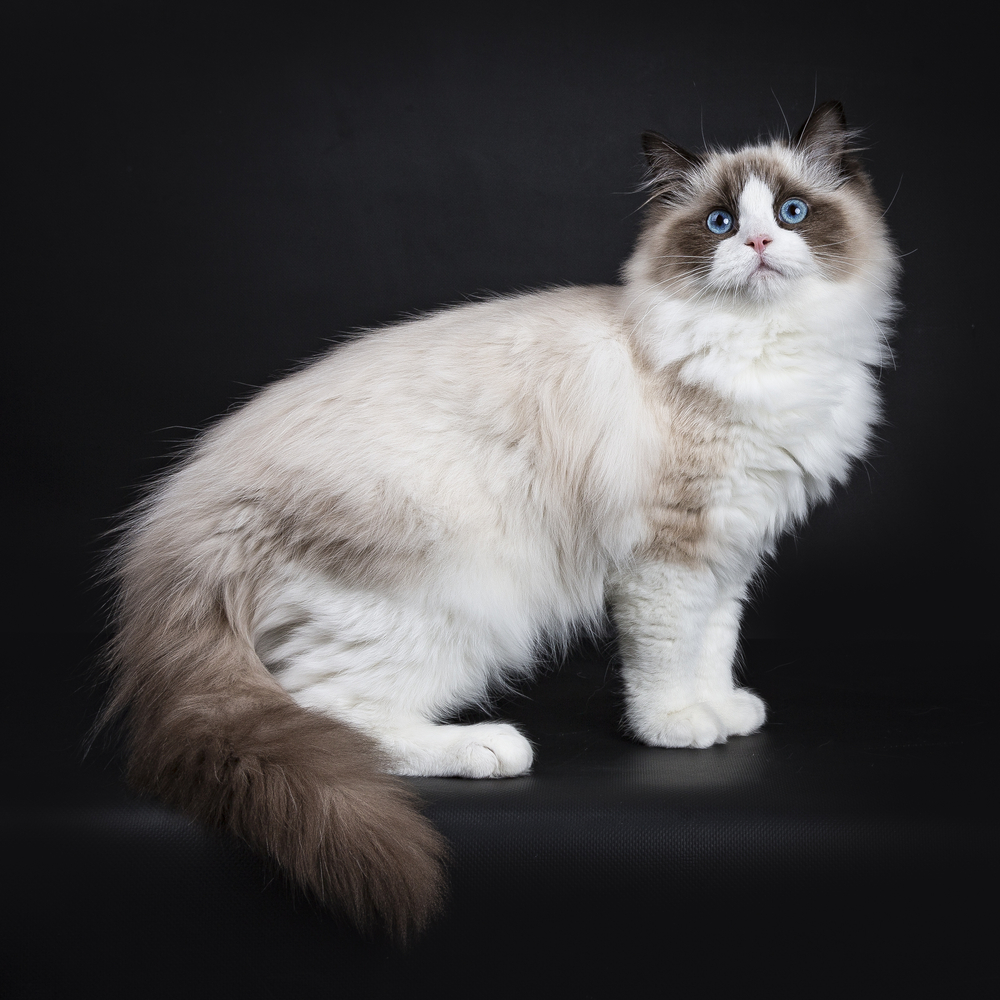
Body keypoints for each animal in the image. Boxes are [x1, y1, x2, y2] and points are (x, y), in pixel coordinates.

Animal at [99, 101, 900, 936]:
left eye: (792, 213)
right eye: (719, 223)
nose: (759, 243)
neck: (763, 352)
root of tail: (191, 512)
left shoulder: (730, 550)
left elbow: (714, 645)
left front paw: (722, 711)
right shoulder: (667, 558)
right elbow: (669, 657)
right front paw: (678, 725)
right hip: (454, 605)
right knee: (328, 711)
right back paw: (488, 749)